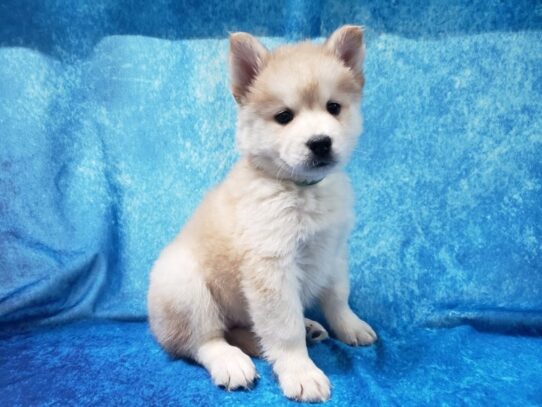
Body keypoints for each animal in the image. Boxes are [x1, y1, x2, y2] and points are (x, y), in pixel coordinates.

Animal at [149, 26, 378, 404]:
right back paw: (231, 361)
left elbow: (337, 297)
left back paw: (308, 328)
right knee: (204, 340)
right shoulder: (272, 267)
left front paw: (350, 326)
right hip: (185, 287)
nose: (320, 142)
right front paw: (301, 373)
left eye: (333, 108)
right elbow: (285, 330)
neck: (301, 189)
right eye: (284, 116)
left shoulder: (333, 252)